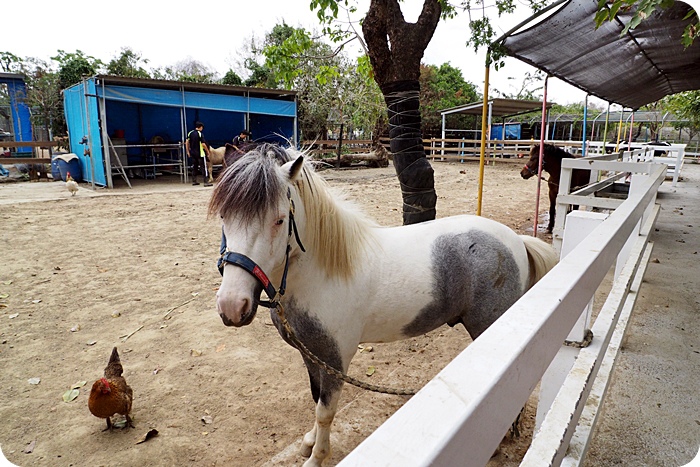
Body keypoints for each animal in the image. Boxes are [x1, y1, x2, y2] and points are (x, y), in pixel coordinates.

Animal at [208, 144, 556, 466]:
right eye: (224, 216)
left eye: (280, 220)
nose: (232, 306)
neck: (323, 274)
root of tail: (517, 241)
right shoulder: (312, 355)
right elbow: (315, 398)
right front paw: (309, 441)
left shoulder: (336, 360)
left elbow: (325, 411)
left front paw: (317, 457)